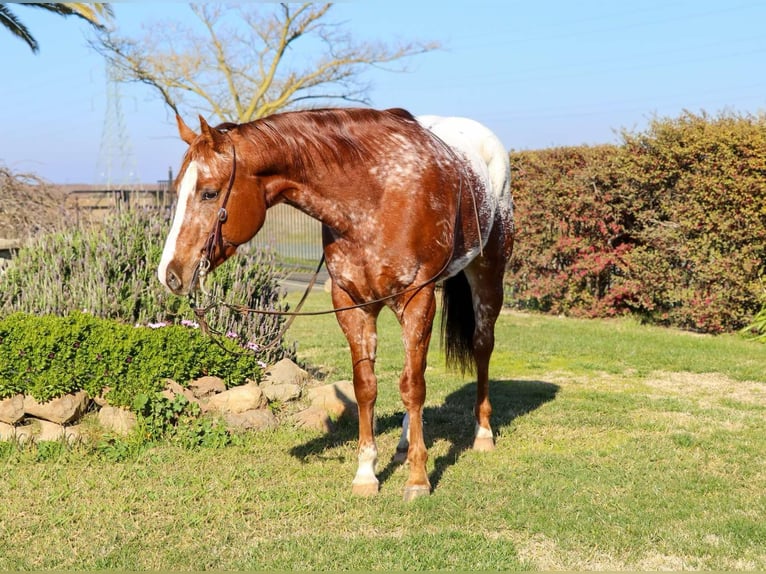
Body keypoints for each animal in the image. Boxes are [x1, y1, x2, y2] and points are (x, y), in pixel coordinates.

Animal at [158, 107, 514, 501]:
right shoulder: (351, 304)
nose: (169, 273)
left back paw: (482, 434)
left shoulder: (417, 299)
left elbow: (414, 387)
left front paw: (418, 479)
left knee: (480, 347)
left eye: (209, 193)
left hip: (487, 274)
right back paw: (404, 442)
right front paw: (366, 473)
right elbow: (368, 386)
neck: (375, 197)